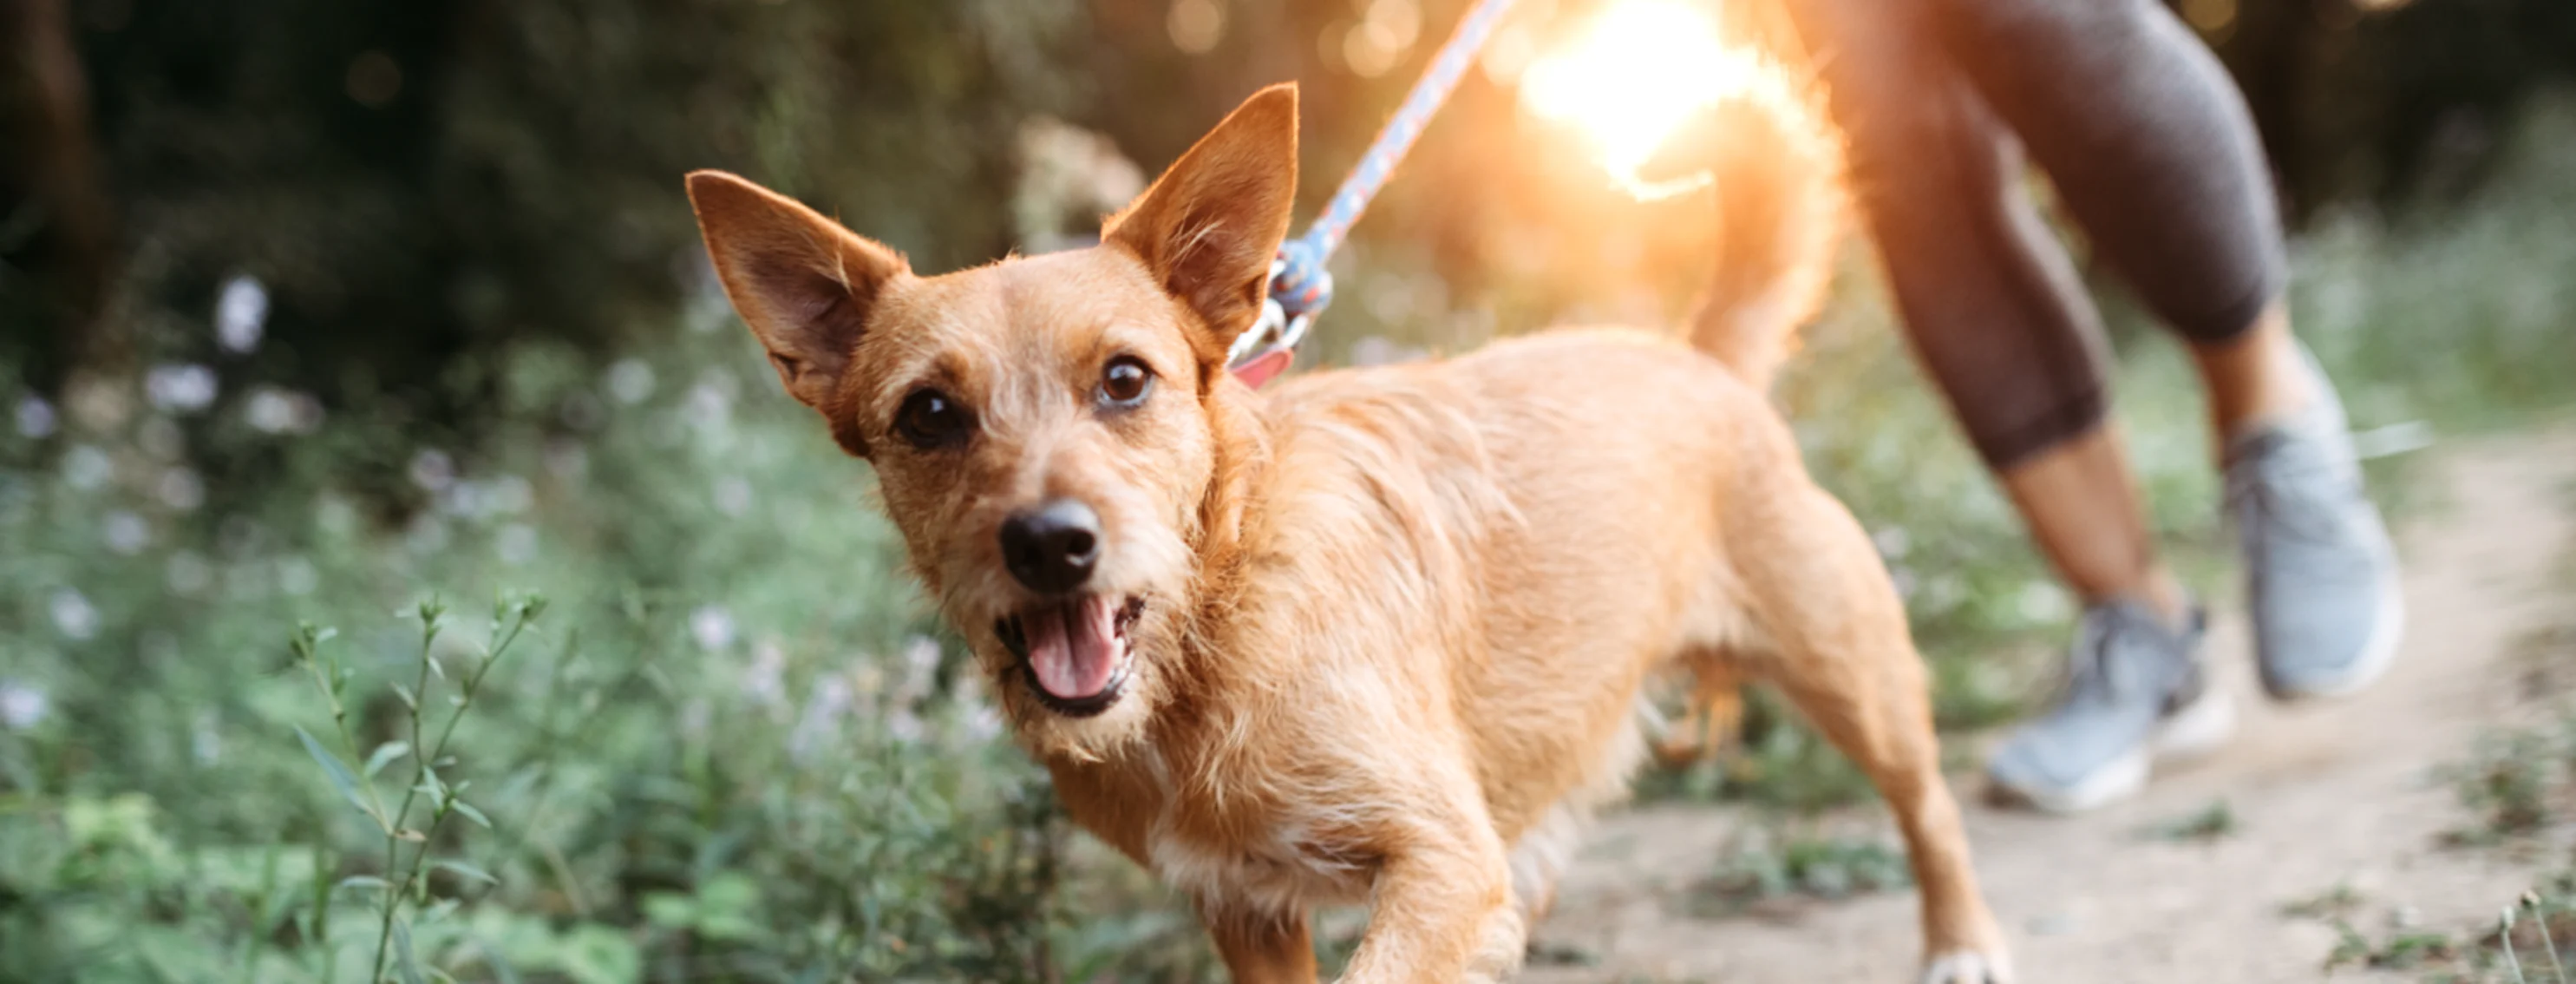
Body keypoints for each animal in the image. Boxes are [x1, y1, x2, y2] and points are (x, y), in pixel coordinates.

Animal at [685, 84, 2009, 984]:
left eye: (1125, 380)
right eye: (929, 414)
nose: (1049, 543)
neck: (1210, 640)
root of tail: (1695, 359)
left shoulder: (1439, 863)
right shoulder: (1247, 910)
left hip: (1849, 666)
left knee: (1929, 806)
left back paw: (1960, 938)